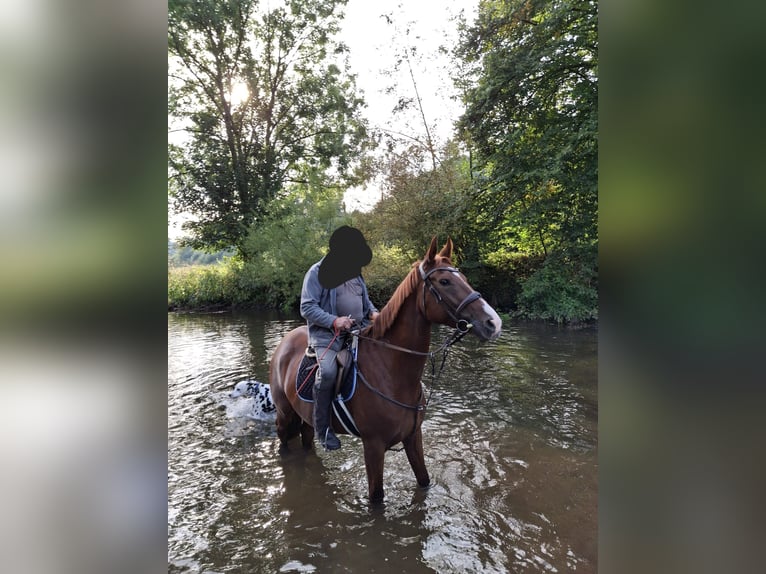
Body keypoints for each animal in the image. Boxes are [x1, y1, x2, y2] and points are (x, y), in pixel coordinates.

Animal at [270, 238, 504, 504]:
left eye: (463, 277)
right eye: (445, 281)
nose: (493, 323)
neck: (392, 372)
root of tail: (284, 342)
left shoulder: (413, 437)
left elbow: (424, 480)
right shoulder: (373, 446)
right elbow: (376, 497)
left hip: (306, 417)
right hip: (284, 413)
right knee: (284, 443)